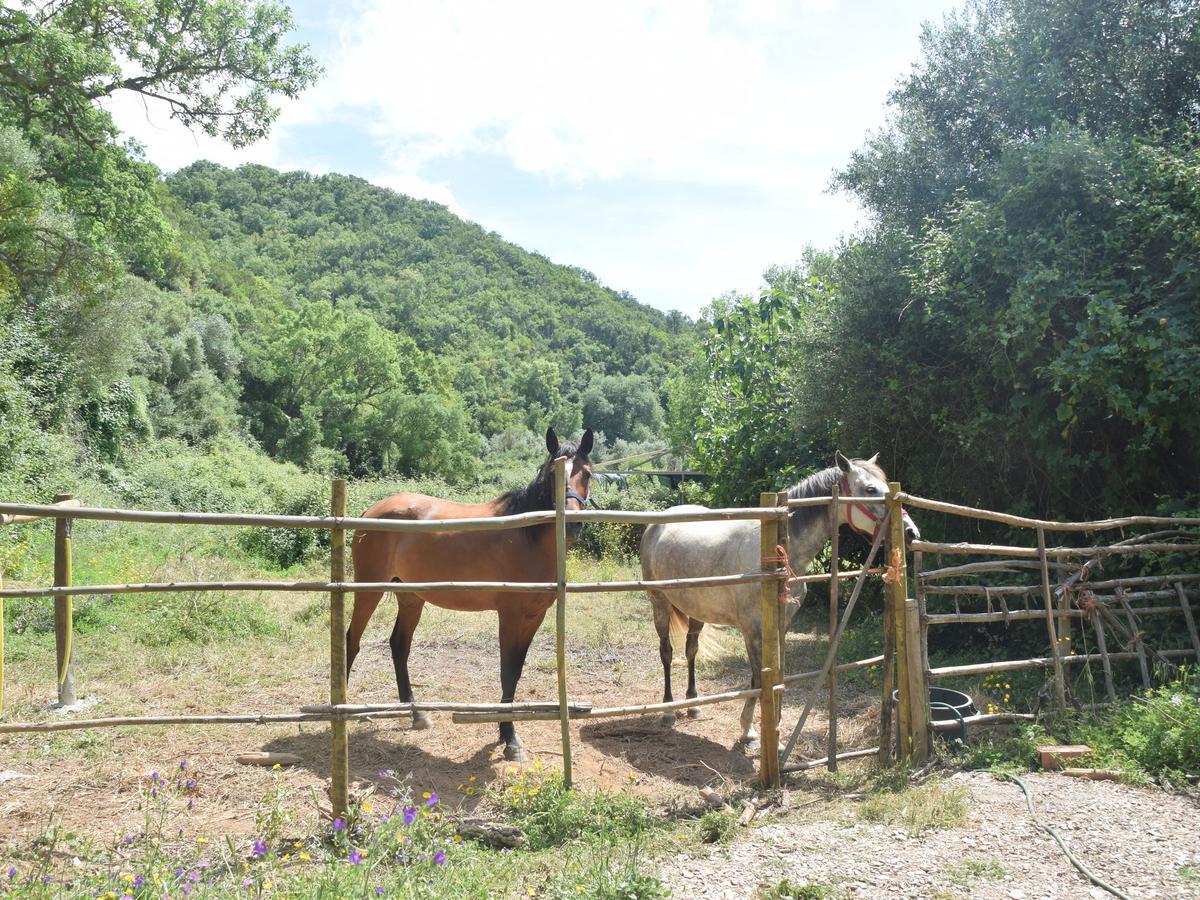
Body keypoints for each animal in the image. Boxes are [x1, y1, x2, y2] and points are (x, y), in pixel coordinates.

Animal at [345, 427, 592, 763]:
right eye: (553, 474)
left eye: (588, 474)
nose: (574, 523)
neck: (525, 536)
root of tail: (371, 510)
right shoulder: (510, 616)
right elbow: (507, 672)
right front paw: (510, 739)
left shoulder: (535, 616)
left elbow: (516, 671)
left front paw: (506, 735)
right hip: (368, 589)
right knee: (351, 641)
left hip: (411, 598)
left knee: (398, 645)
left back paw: (416, 714)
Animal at [638, 453, 916, 748]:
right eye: (870, 489)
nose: (911, 532)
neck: (777, 556)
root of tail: (658, 523)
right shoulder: (752, 630)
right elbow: (758, 678)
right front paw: (750, 732)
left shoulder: (780, 627)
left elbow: (773, 676)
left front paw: (767, 734)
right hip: (659, 604)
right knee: (667, 653)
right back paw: (668, 710)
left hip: (696, 611)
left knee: (691, 650)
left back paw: (693, 705)